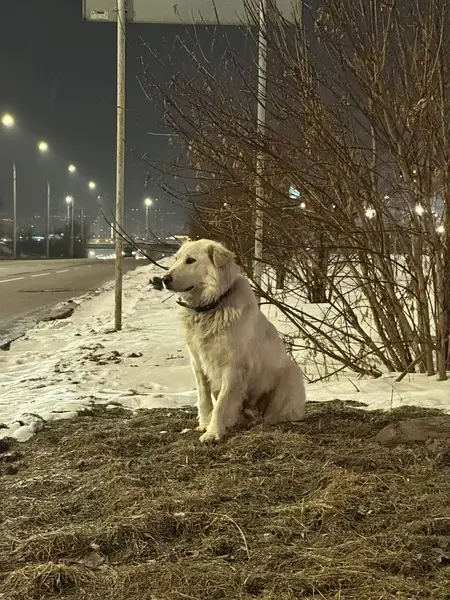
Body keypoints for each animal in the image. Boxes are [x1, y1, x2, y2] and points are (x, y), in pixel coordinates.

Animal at [162, 239, 306, 442]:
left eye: (190, 260)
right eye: (176, 259)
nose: (164, 279)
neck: (212, 306)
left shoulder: (232, 367)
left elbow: (222, 404)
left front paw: (213, 432)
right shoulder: (198, 362)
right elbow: (204, 399)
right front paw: (205, 425)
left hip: (290, 375)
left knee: (273, 414)